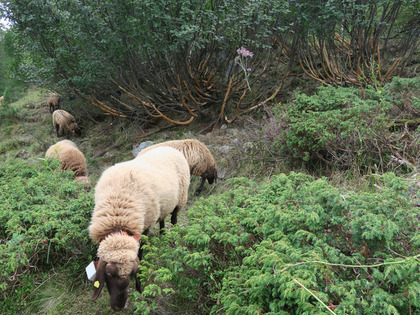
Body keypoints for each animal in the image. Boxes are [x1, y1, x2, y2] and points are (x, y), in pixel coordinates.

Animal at [88, 147, 190, 312]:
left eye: (132, 274)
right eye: (108, 274)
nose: (119, 306)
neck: (118, 218)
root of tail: (169, 147)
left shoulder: (144, 228)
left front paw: (140, 290)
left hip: (181, 198)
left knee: (174, 220)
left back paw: (173, 244)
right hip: (164, 205)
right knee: (162, 220)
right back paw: (163, 236)